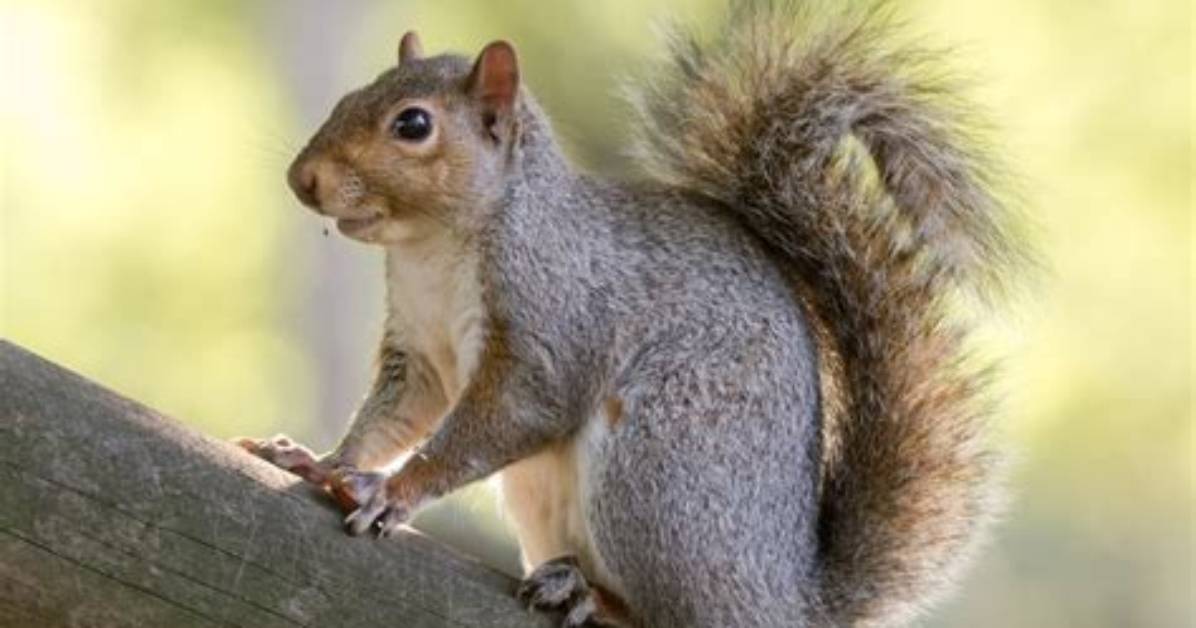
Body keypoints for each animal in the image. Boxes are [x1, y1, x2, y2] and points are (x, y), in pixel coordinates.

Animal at [239, 1, 1023, 626]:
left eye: (412, 124)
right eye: (354, 93)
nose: (301, 179)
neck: (432, 249)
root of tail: (787, 603)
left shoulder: (553, 323)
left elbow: (504, 418)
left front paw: (392, 492)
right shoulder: (421, 353)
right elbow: (390, 420)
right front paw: (321, 461)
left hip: (658, 473)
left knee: (671, 612)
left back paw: (591, 596)